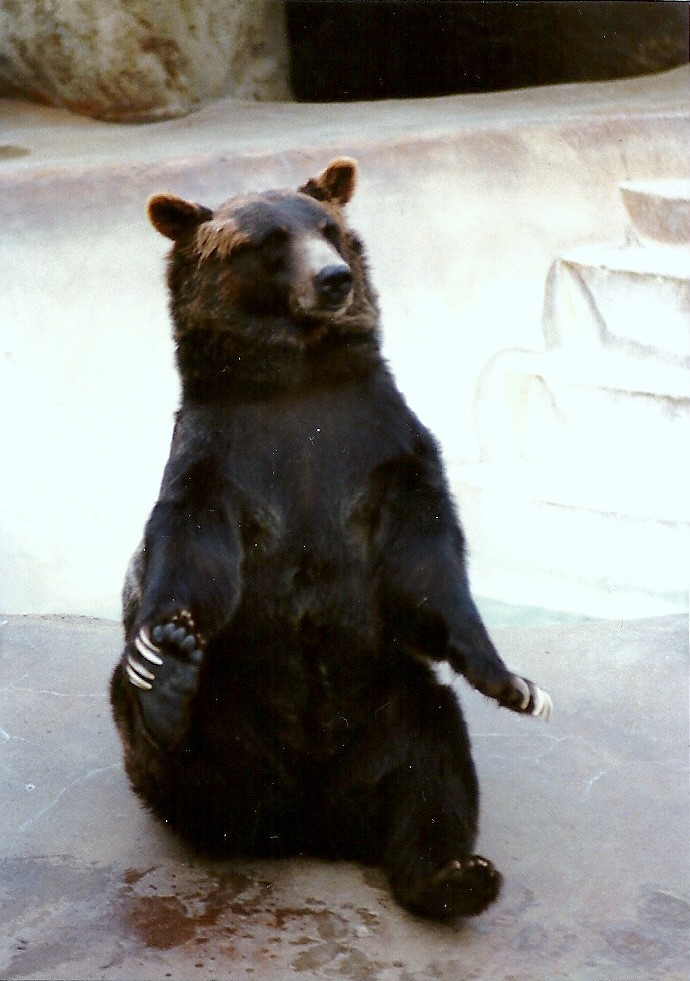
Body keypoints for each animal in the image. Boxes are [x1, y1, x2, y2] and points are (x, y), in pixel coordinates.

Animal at [110, 157, 552, 921]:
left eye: (329, 229)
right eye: (267, 241)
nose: (334, 279)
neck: (298, 379)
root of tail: (305, 820)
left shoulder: (380, 445)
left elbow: (424, 560)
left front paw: (513, 680)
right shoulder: (223, 456)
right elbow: (194, 548)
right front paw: (164, 649)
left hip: (382, 706)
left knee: (432, 757)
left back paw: (454, 874)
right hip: (231, 715)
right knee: (186, 756)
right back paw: (171, 701)